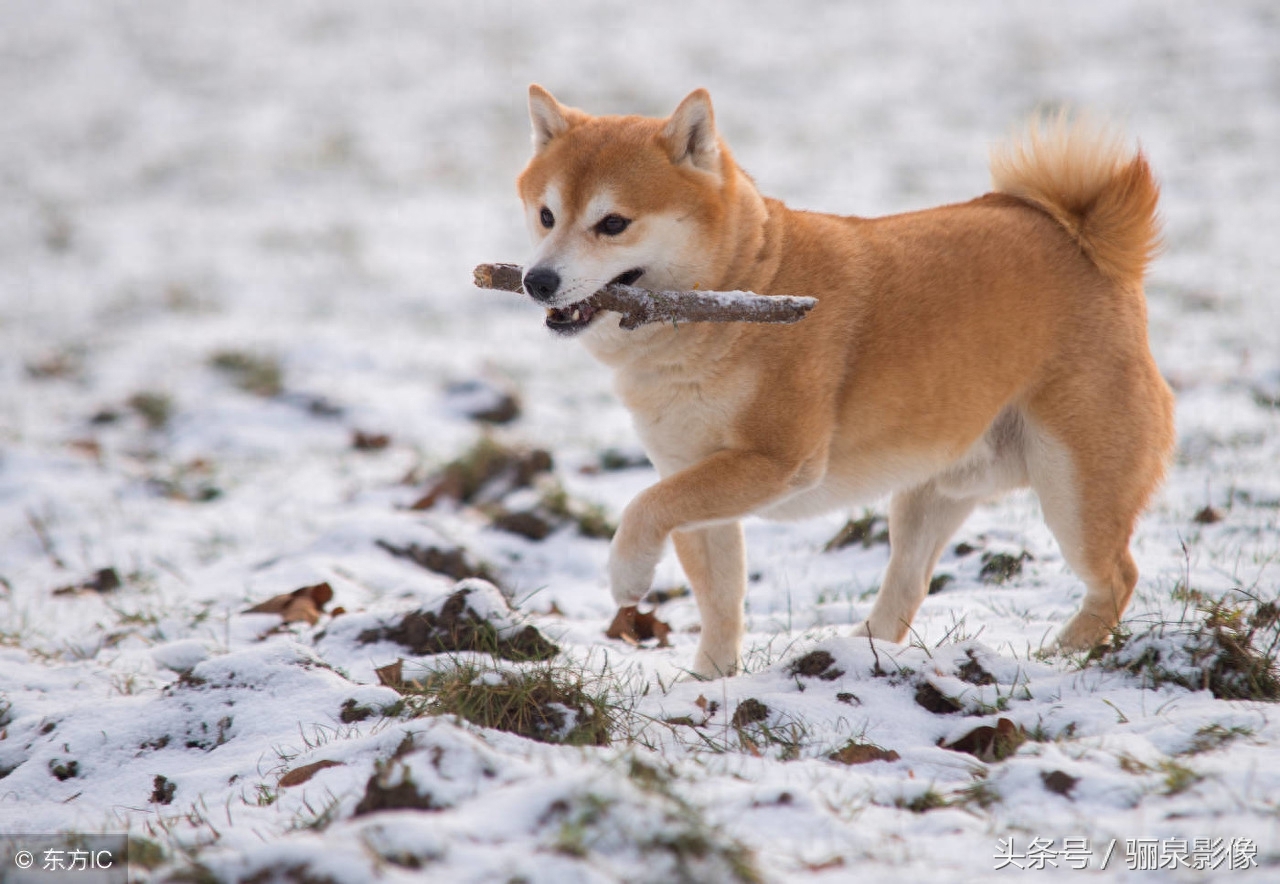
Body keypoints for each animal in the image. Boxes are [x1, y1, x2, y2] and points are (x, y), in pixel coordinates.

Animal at [514, 86, 1172, 675]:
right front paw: (707, 683)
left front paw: (627, 573)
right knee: (908, 586)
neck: (736, 292)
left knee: (1118, 577)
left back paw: (1060, 656)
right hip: (933, 492)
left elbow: (642, 509)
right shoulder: (691, 476)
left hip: (1073, 491)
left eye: (613, 223)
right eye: (546, 216)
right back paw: (861, 653)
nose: (537, 281)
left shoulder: (776, 462)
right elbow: (720, 599)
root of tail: (1091, 243)